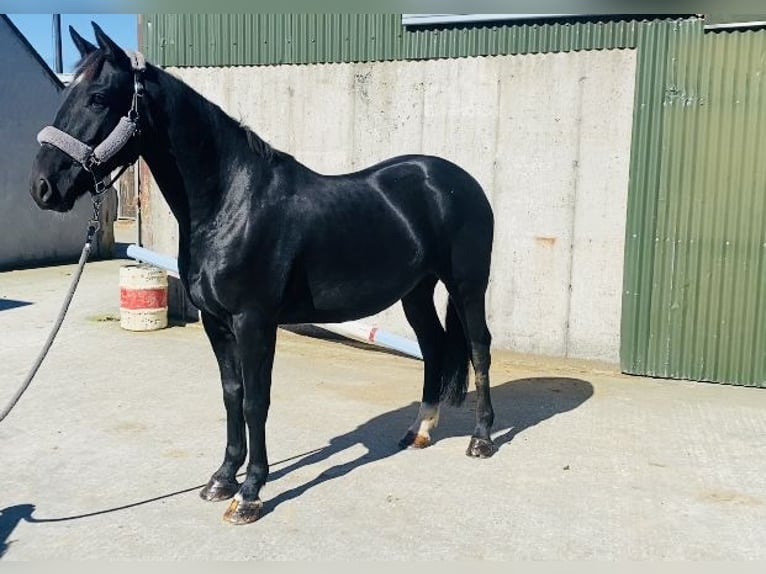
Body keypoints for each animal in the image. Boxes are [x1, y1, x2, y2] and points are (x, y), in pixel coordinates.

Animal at [28, 23, 498, 528]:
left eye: (97, 98)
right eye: (67, 94)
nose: (42, 187)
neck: (232, 203)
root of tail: (458, 181)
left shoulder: (254, 321)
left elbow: (257, 400)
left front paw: (250, 492)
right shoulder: (216, 322)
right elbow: (231, 395)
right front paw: (221, 479)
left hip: (466, 285)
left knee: (478, 348)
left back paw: (481, 438)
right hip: (416, 290)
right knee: (433, 347)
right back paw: (419, 430)